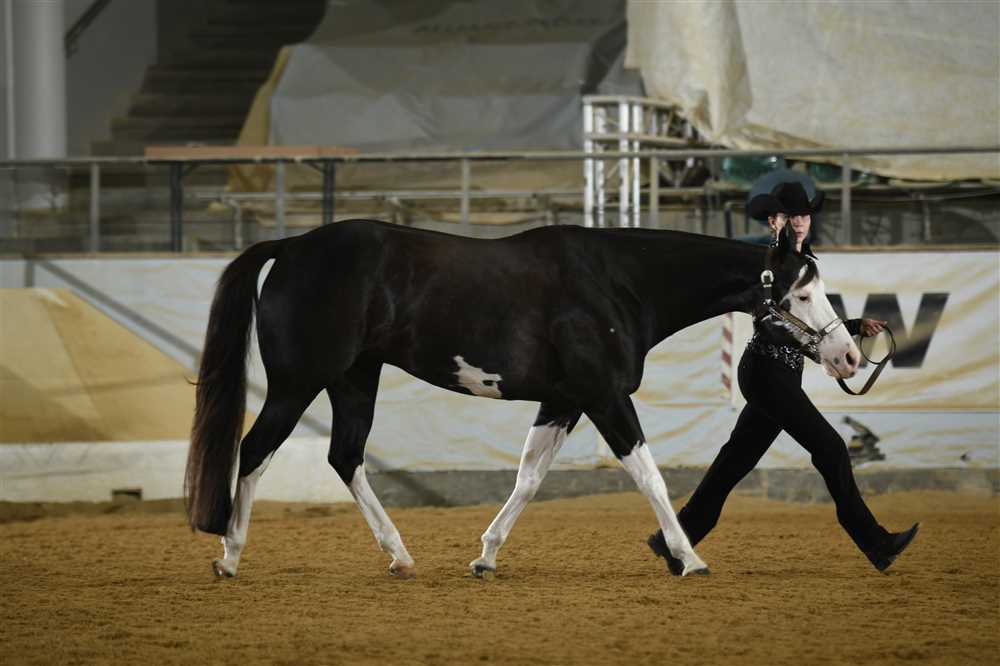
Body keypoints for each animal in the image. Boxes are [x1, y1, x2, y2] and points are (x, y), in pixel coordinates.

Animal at [184, 219, 860, 579]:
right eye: (802, 294)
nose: (849, 356)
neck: (618, 283)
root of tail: (292, 245)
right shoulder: (605, 397)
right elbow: (649, 476)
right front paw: (688, 559)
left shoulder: (564, 401)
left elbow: (529, 478)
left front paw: (485, 557)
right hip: (298, 382)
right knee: (255, 449)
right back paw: (229, 557)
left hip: (354, 379)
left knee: (344, 457)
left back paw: (400, 556)